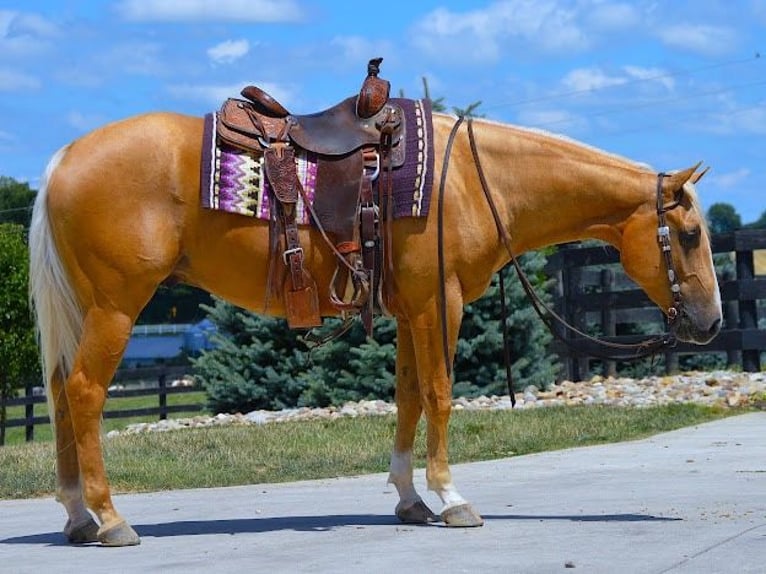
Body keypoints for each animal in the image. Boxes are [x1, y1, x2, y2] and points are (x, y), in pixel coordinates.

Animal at [30, 109, 724, 548]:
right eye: (690, 234)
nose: (712, 322)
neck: (472, 181)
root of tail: (62, 160)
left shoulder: (412, 309)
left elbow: (409, 398)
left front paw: (411, 500)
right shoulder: (440, 303)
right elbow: (441, 396)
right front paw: (453, 500)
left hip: (88, 309)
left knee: (61, 392)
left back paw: (77, 517)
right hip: (117, 306)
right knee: (85, 392)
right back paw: (110, 519)